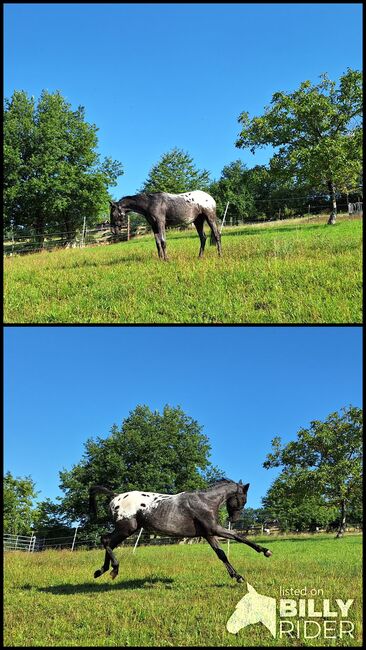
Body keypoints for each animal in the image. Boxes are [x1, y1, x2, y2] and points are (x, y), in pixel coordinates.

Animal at [88, 476, 272, 584]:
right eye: (243, 499)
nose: (234, 520)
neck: (205, 501)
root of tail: (115, 497)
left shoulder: (208, 534)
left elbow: (221, 554)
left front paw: (237, 576)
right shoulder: (214, 529)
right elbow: (238, 537)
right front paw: (265, 551)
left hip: (126, 530)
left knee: (108, 542)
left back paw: (101, 571)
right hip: (127, 528)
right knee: (106, 540)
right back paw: (114, 569)